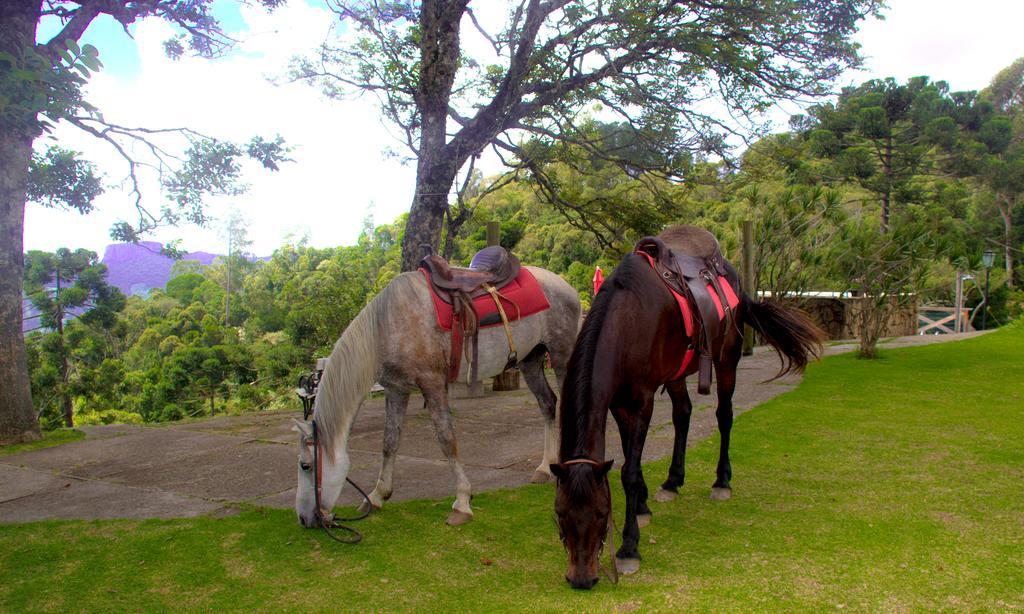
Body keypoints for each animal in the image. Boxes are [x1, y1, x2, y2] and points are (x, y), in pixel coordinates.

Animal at [296, 266, 581, 523]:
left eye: (305, 465)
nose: (304, 519)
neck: (389, 325)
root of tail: (566, 287)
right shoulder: (396, 389)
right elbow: (389, 442)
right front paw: (377, 495)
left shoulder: (432, 384)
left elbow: (447, 440)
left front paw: (462, 502)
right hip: (530, 361)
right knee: (547, 403)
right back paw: (544, 468)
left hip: (560, 356)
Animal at [552, 225, 823, 589]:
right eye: (560, 513)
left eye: (601, 513)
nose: (581, 579)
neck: (628, 318)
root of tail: (733, 274)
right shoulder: (619, 404)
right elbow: (631, 461)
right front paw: (643, 505)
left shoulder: (641, 401)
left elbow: (629, 470)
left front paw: (629, 546)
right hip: (678, 374)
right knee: (683, 414)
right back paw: (672, 481)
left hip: (727, 360)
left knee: (724, 416)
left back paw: (722, 482)